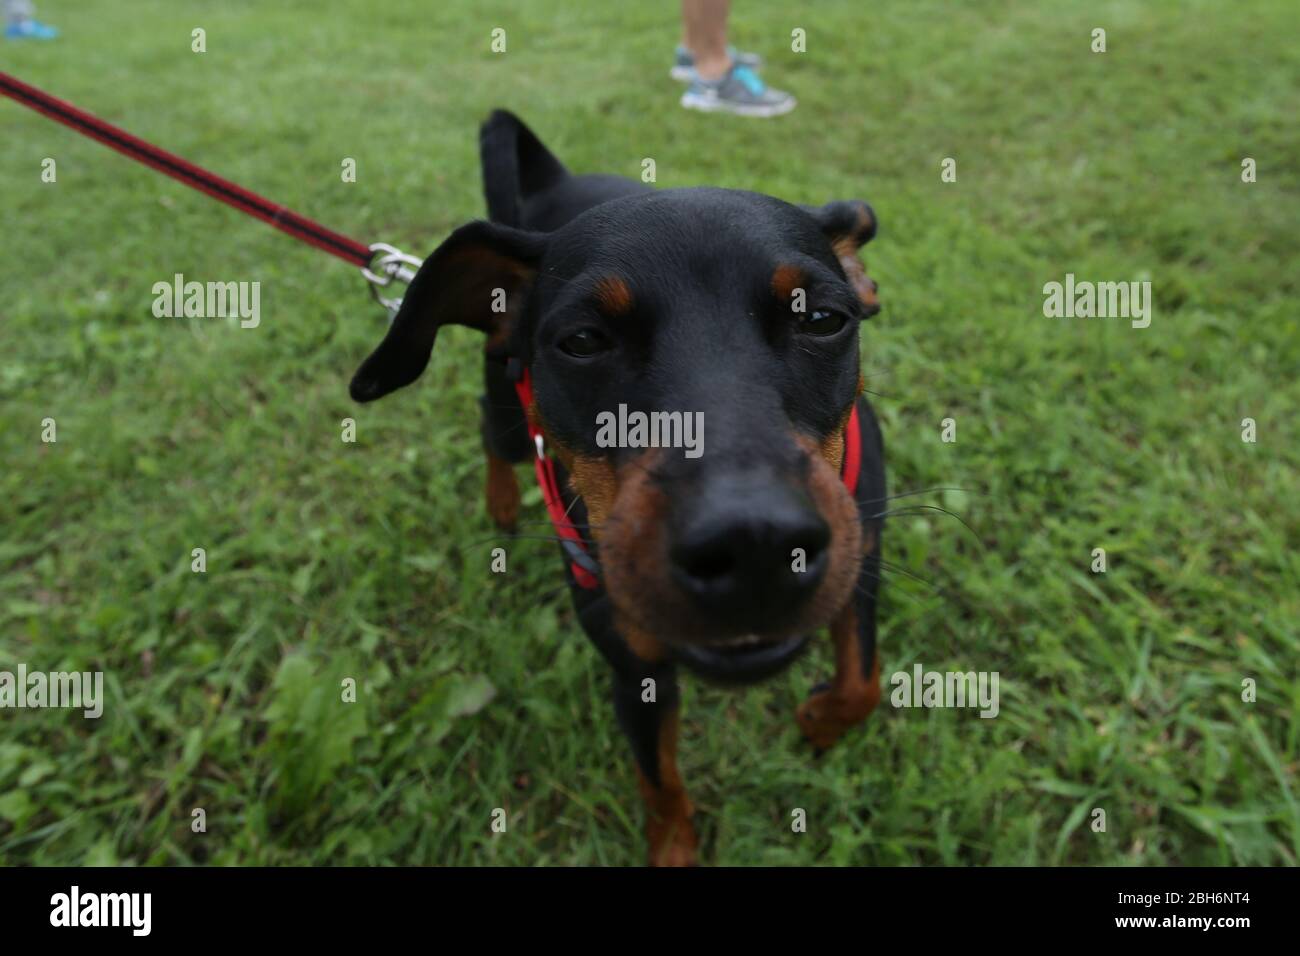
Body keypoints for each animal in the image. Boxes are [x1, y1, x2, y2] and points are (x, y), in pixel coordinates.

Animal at [351, 111, 889, 868]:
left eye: (822, 319)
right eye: (582, 340)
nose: (754, 543)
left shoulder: (861, 553)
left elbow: (863, 680)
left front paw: (819, 719)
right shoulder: (632, 658)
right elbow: (658, 780)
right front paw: (674, 846)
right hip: (508, 403)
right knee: (493, 434)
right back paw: (501, 501)